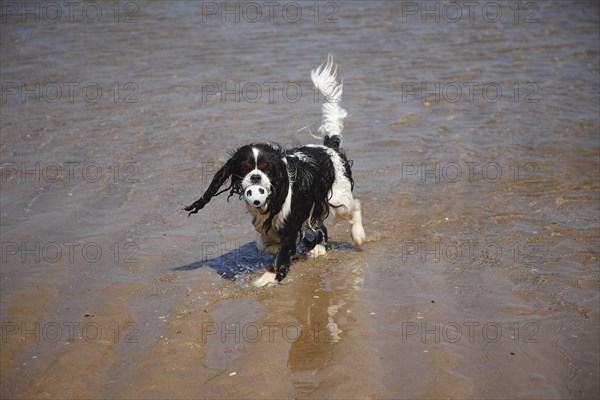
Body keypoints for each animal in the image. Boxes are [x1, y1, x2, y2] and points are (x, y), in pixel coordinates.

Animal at [185, 57, 368, 288]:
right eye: (245, 168)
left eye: (267, 169)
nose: (255, 177)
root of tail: (330, 147)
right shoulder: (270, 226)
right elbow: (265, 244)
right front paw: (296, 251)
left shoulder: (290, 223)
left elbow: (282, 251)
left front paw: (268, 277)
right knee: (321, 226)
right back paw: (318, 248)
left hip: (338, 197)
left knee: (355, 208)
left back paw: (358, 235)